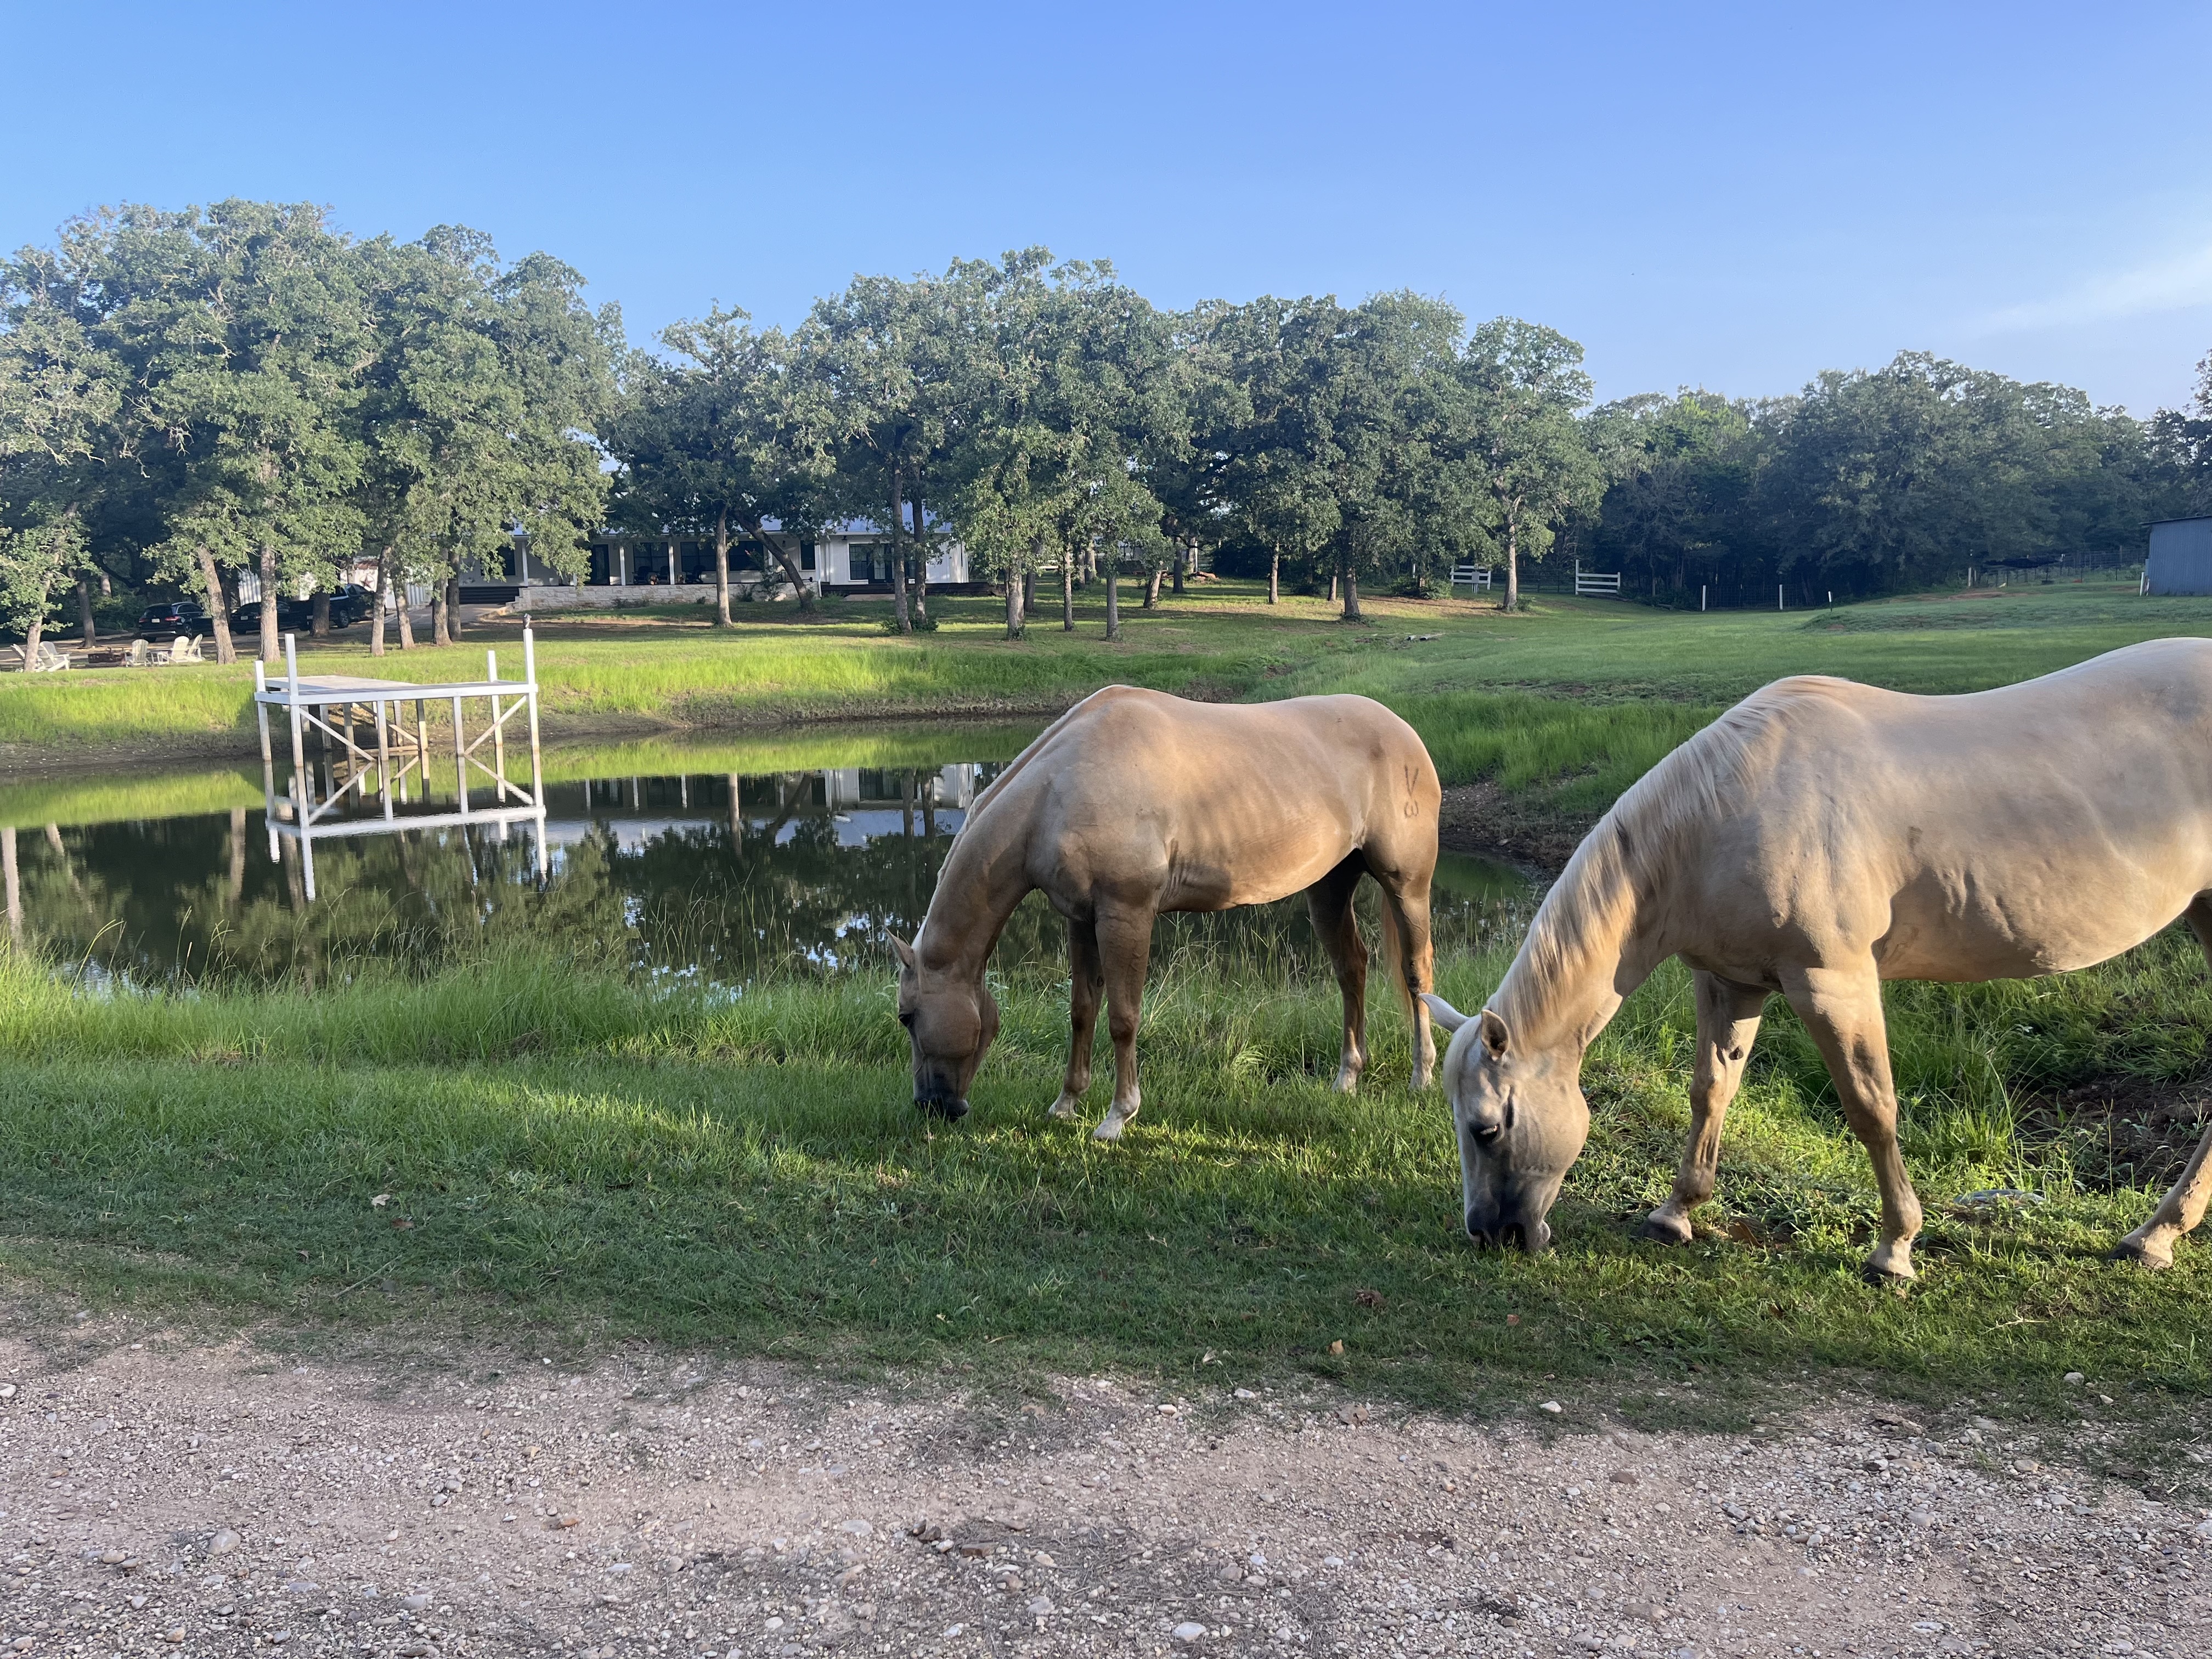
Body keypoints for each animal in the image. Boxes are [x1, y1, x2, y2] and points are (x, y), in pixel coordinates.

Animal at [891, 685, 1441, 1138]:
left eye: (906, 1016)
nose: (930, 1105)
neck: (1057, 790)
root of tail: (1406, 734)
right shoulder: (1081, 919)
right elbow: (1082, 1011)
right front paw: (1066, 1104)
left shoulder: (1126, 914)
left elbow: (1122, 1017)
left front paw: (1117, 1116)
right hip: (1329, 891)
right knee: (1352, 969)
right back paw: (1348, 1077)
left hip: (1407, 887)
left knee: (1416, 975)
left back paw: (1423, 1076)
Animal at [1421, 637, 2212, 1282]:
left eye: (1488, 1127)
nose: (1490, 1234)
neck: (1724, 811)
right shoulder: (1731, 982)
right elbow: (1711, 1091)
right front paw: (1676, 1213)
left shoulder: (1833, 984)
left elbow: (1872, 1110)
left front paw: (1895, 1250)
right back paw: (2155, 1236)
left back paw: (2155, 1235)